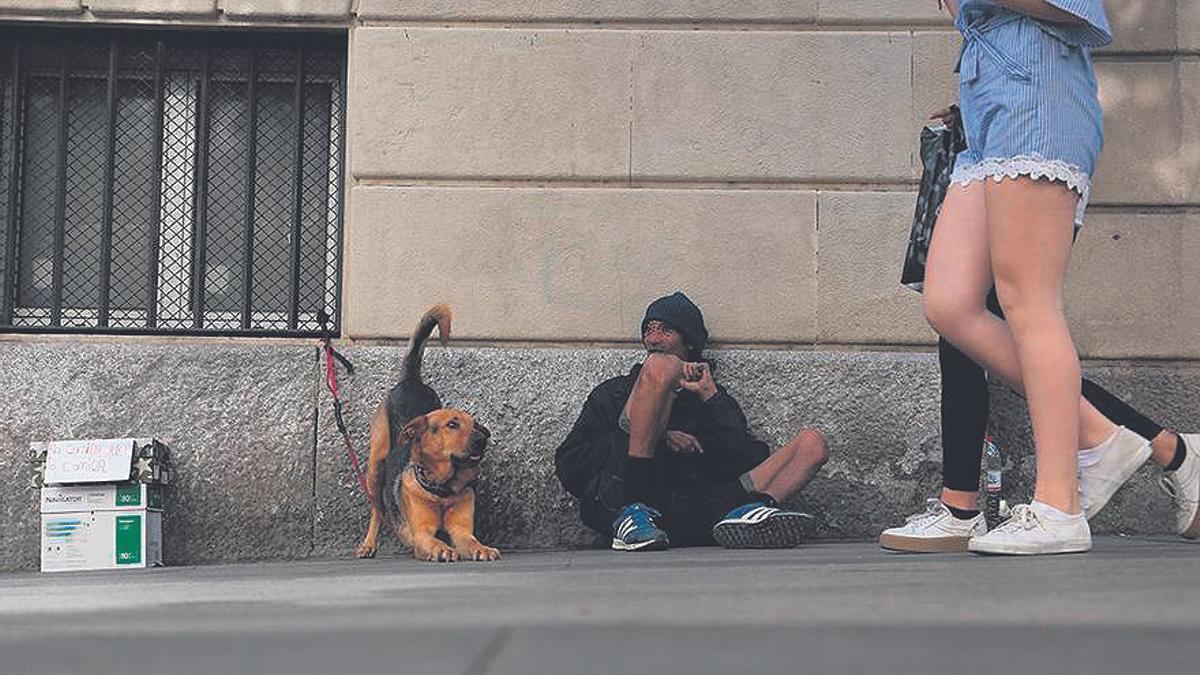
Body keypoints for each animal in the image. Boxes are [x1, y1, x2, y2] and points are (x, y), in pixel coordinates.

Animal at [352, 302, 499, 559]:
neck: (442, 490)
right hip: (375, 465)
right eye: (452, 424)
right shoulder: (421, 534)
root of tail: (411, 380)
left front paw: (484, 549)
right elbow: (434, 542)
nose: (482, 440)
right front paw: (443, 550)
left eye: (475, 424)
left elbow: (471, 542)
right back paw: (368, 544)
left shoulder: (461, 531)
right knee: (377, 510)